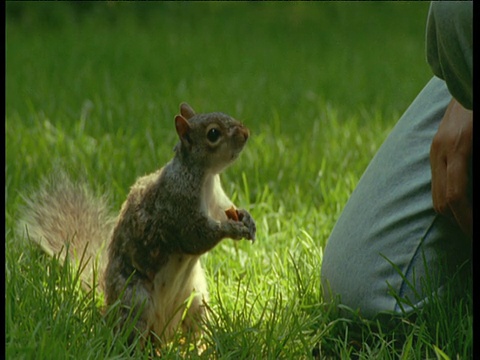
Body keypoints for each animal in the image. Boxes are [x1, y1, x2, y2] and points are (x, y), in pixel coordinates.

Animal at [19, 102, 255, 344]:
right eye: (213, 134)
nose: (246, 133)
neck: (206, 176)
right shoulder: (177, 206)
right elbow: (195, 236)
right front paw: (230, 229)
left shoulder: (218, 202)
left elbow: (228, 211)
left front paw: (247, 219)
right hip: (135, 302)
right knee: (133, 334)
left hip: (197, 299)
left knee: (195, 330)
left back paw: (201, 349)